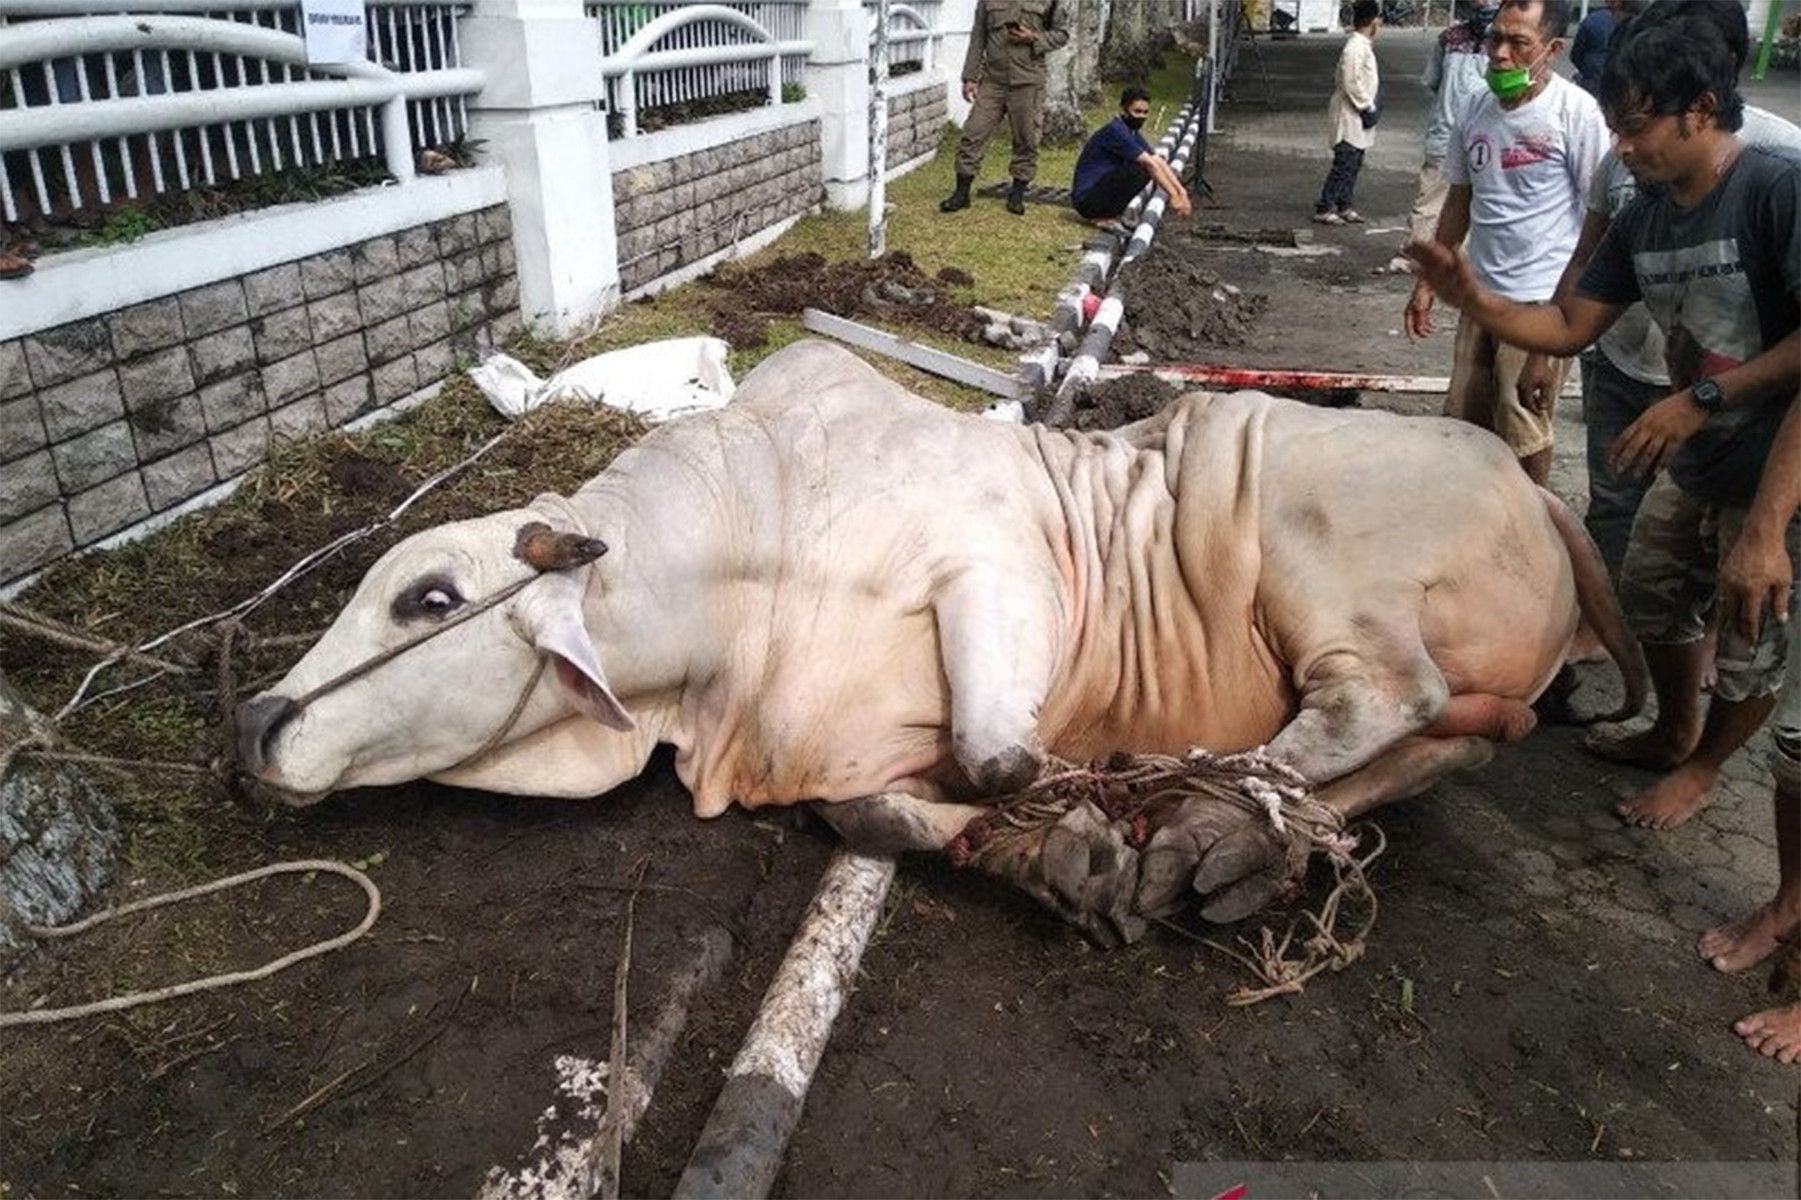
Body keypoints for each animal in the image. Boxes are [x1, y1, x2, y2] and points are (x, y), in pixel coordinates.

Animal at [239, 336, 1649, 936]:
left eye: (426, 596)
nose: (253, 718)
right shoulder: (839, 761)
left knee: (1378, 700)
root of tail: (1531, 483)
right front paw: (1057, 861)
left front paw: (1084, 808)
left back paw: (1193, 798)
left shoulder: (993, 565)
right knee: (1437, 744)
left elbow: (997, 757)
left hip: (1310, 550)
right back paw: (1233, 833)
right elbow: (886, 813)